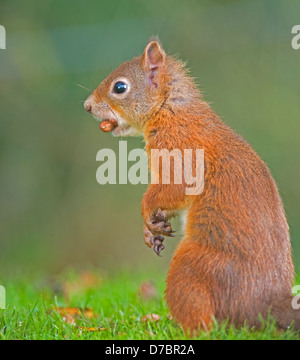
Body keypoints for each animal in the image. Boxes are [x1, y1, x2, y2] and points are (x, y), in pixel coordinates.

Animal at [84, 38, 300, 332]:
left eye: (120, 87)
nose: (88, 106)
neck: (169, 109)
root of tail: (262, 306)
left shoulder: (180, 153)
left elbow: (173, 188)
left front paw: (147, 212)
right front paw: (152, 231)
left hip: (191, 269)